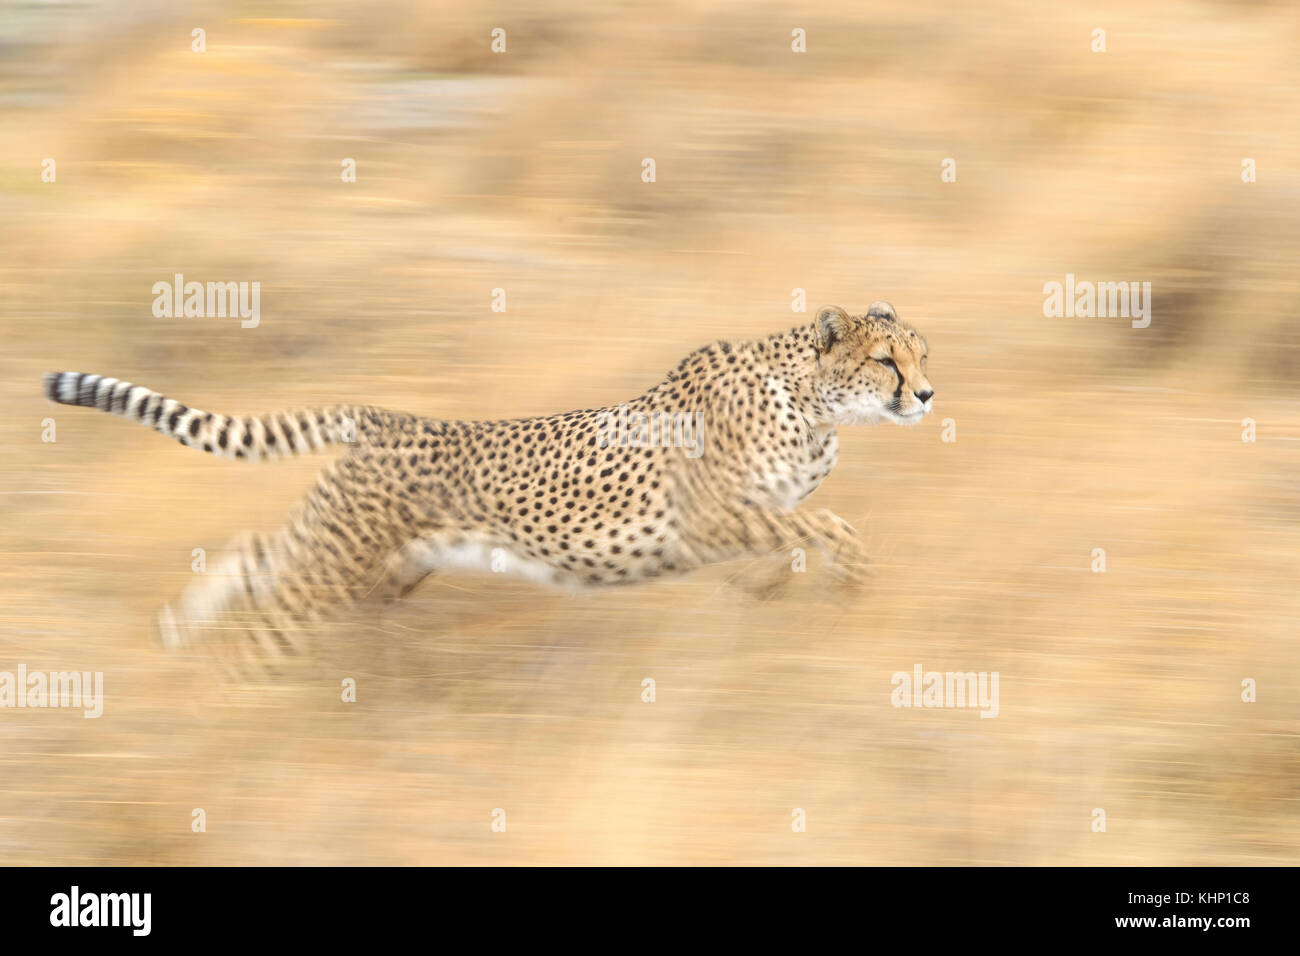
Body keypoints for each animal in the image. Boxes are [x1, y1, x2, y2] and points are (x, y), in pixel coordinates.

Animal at [40, 303, 935, 671]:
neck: (814, 404)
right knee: (263, 628)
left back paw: (176, 632)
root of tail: (389, 415)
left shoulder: (747, 519)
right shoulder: (713, 519)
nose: (926, 395)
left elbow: (795, 541)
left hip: (372, 567)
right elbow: (829, 531)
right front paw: (853, 581)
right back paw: (212, 700)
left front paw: (767, 593)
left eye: (922, 354)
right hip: (336, 576)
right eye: (888, 360)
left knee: (257, 550)